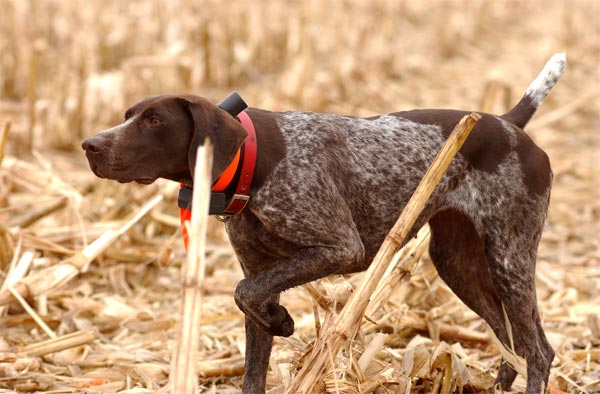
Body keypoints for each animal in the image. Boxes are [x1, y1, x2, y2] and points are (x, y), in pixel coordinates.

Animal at [84, 53, 568, 392]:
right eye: (127, 115)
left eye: (154, 120)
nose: (90, 144)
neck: (255, 162)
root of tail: (507, 124)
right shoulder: (262, 267)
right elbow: (252, 342)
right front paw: (275, 320)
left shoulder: (340, 248)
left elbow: (245, 293)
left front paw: (281, 321)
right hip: (458, 263)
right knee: (512, 343)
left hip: (509, 258)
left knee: (539, 352)